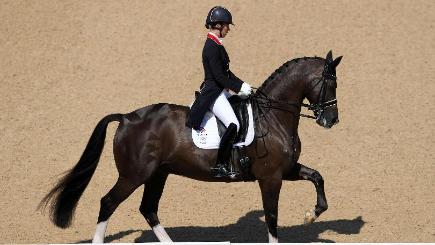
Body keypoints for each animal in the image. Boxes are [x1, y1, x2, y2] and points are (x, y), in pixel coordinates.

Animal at [39, 50, 342, 242]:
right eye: (330, 83)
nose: (331, 120)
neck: (272, 116)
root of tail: (126, 117)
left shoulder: (286, 170)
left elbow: (318, 177)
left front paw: (312, 214)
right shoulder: (270, 178)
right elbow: (272, 218)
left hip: (157, 174)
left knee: (148, 209)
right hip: (134, 175)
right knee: (108, 202)